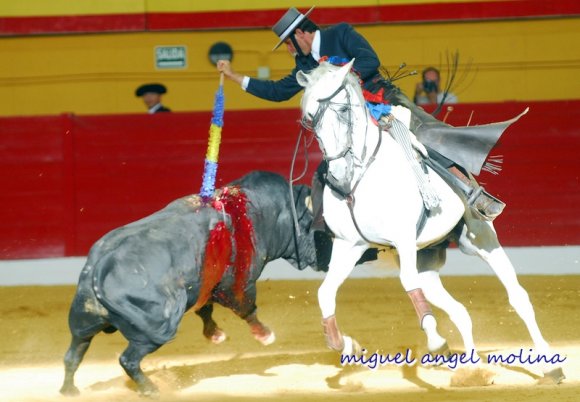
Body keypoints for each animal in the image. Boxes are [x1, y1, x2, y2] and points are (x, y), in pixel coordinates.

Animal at [60, 170, 318, 396]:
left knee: (73, 354)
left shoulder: (206, 286)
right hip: (154, 330)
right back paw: (151, 390)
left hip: (83, 322)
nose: (320, 260)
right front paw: (265, 335)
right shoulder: (238, 284)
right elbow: (246, 309)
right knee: (128, 359)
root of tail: (100, 265)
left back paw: (69, 391)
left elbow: (205, 309)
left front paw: (215, 334)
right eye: (310, 226)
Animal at [296, 60, 564, 384]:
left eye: (344, 110)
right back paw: (473, 370)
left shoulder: (402, 237)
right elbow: (325, 292)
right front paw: (347, 344)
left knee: (518, 297)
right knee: (460, 311)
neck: (360, 177)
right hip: (426, 259)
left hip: (480, 236)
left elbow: (407, 282)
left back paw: (549, 365)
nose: (337, 174)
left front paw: (436, 342)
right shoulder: (350, 244)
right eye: (309, 119)